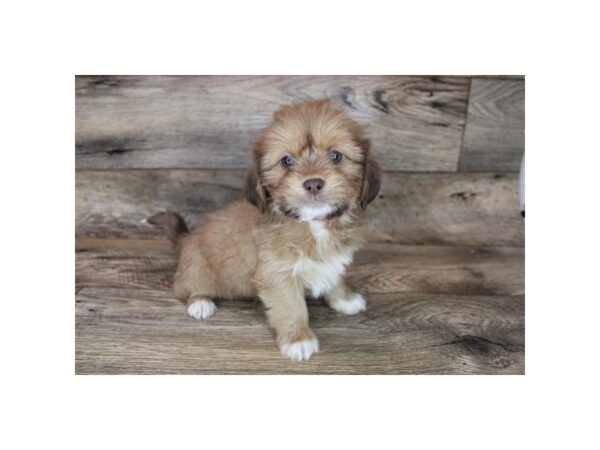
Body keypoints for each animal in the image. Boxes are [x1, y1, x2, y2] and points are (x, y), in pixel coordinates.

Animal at [149, 99, 380, 362]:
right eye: (286, 161)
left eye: (336, 156)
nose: (313, 183)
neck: (312, 225)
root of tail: (187, 239)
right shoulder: (277, 274)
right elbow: (291, 306)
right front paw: (298, 339)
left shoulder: (331, 258)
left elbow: (334, 275)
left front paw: (344, 298)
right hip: (196, 271)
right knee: (186, 288)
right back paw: (200, 303)